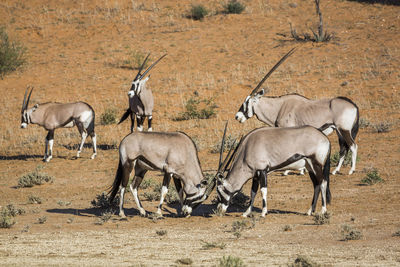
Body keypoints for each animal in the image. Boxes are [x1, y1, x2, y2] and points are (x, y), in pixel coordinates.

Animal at [234, 49, 360, 177]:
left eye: (247, 102)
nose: (237, 116)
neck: (279, 107)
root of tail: (353, 105)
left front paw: (288, 170)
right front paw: (301, 170)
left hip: (344, 129)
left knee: (353, 146)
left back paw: (351, 170)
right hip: (339, 131)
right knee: (343, 148)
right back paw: (335, 170)